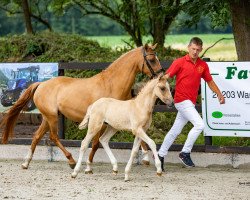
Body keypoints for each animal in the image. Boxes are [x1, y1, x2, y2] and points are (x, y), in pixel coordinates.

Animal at [0, 43, 164, 171]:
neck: (111, 84)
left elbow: (138, 137)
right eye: (151, 59)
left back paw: (26, 163)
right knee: (53, 137)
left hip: (48, 117)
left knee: (37, 136)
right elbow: (96, 143)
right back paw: (71, 161)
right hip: (52, 117)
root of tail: (41, 84)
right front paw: (88, 165)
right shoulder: (102, 122)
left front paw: (145, 158)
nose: (161, 76)